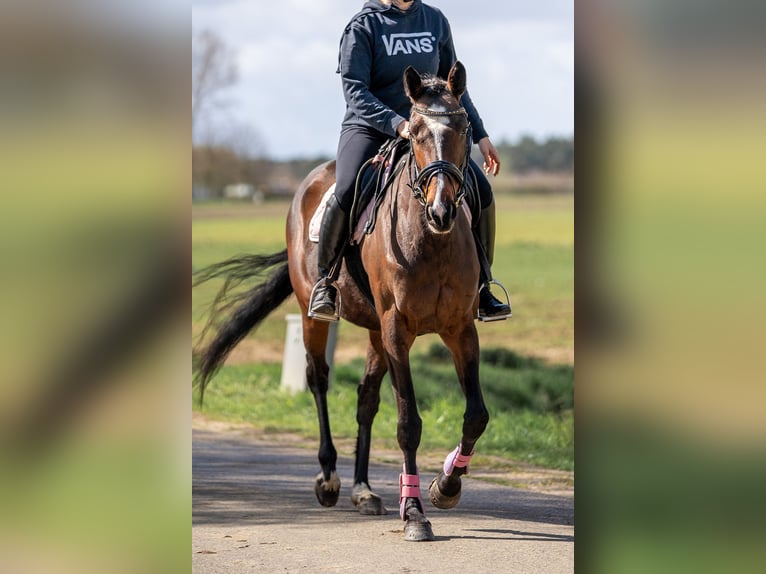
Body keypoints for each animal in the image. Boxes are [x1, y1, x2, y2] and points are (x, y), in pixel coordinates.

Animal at [194, 61, 490, 542]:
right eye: (416, 133)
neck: (431, 240)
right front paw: (415, 513)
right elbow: (408, 423)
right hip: (315, 317)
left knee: (365, 398)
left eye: (464, 126)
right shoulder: (397, 328)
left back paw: (363, 490)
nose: (443, 210)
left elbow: (476, 415)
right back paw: (330, 479)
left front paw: (445, 486)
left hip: (374, 331)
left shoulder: (459, 328)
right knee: (318, 379)